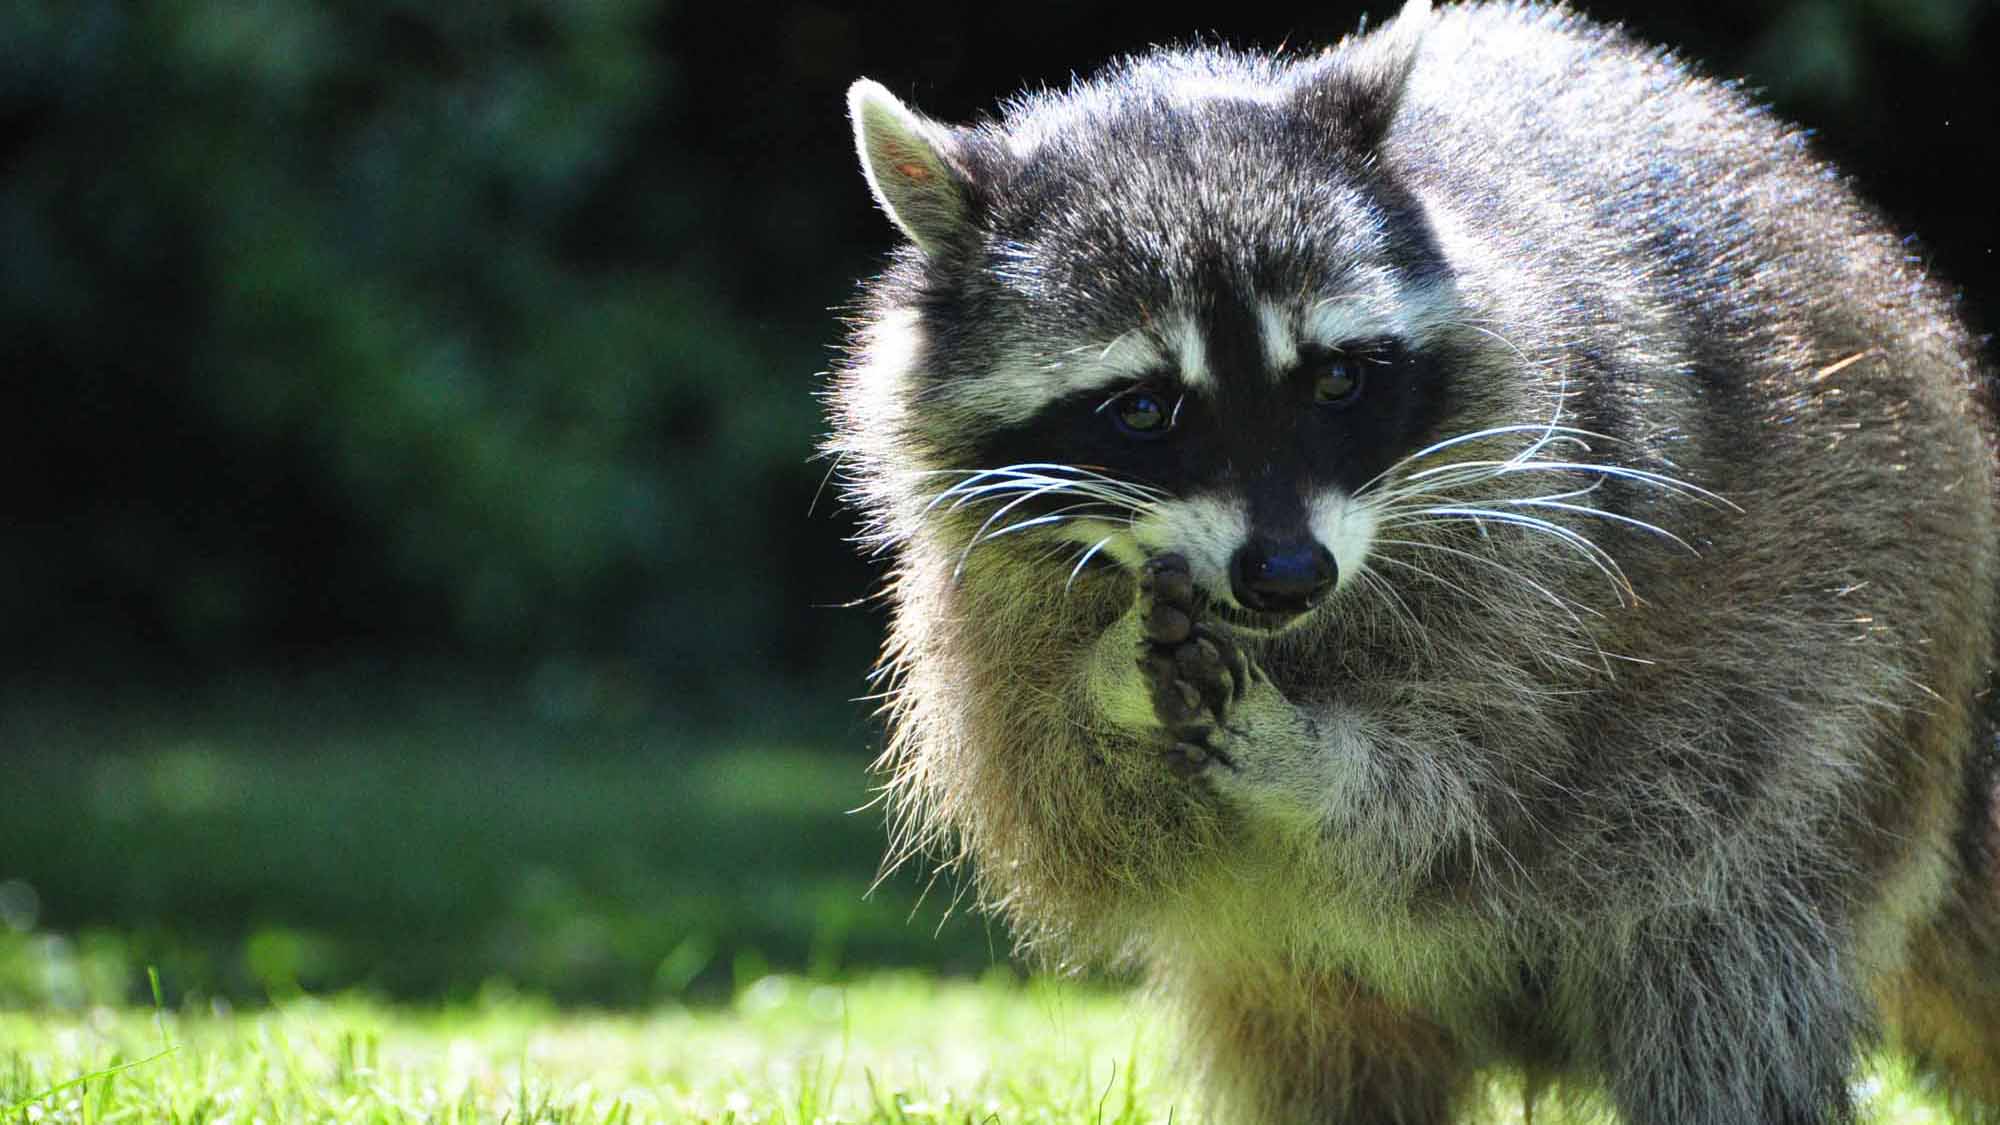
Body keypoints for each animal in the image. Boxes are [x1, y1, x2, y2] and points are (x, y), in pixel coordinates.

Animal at [824, 4, 2000, 1112]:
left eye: (1336, 379)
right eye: (1145, 408)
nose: (1288, 575)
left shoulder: (1575, 537)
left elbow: (1476, 779)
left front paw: (1307, 757)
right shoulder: (977, 608)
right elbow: (1069, 800)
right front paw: (1104, 683)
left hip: (1834, 693)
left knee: (1723, 967)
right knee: (1320, 1051)